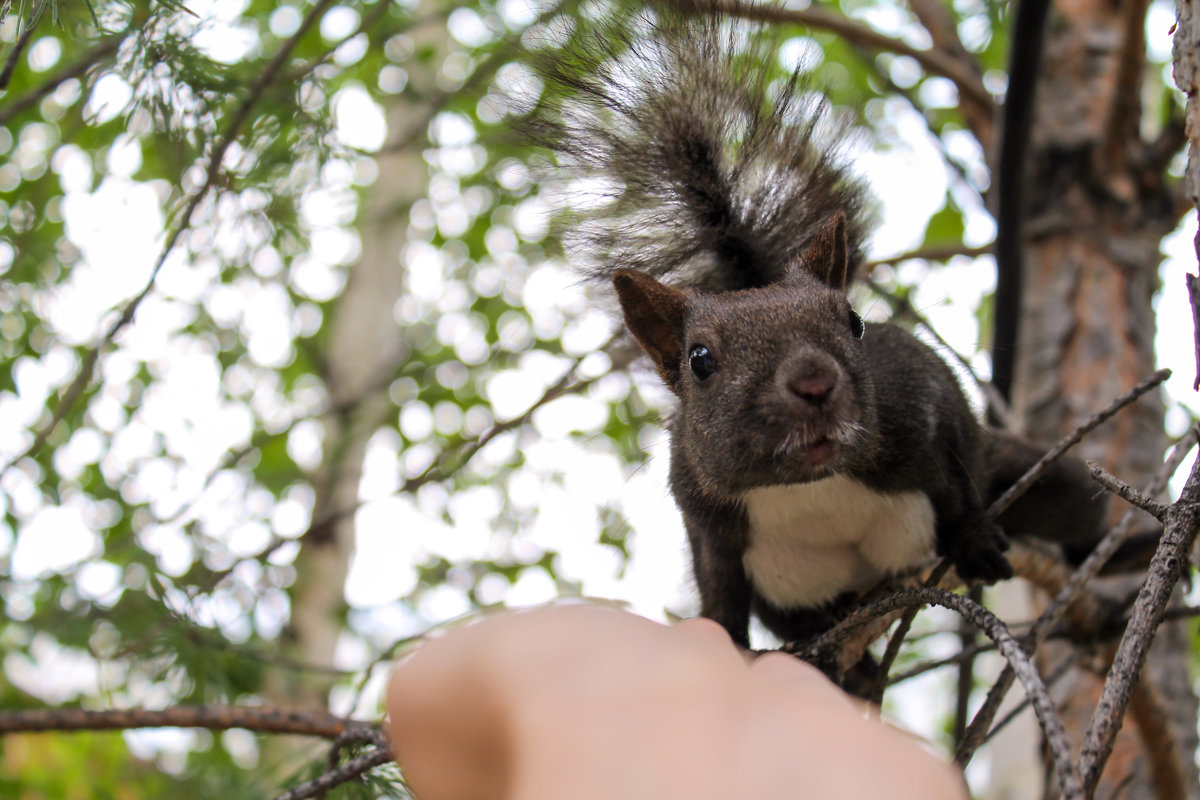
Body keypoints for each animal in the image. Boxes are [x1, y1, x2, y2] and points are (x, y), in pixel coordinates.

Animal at [525, 1, 1113, 652]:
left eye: (854, 322)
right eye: (699, 360)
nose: (815, 384)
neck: (810, 486)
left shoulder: (920, 397)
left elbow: (956, 473)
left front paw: (973, 536)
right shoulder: (701, 506)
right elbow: (718, 588)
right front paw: (718, 639)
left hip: (1043, 478)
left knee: (1077, 507)